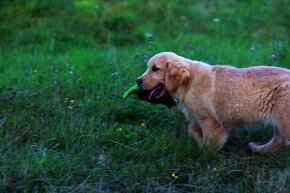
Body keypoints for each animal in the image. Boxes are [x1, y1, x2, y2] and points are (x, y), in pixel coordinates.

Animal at [136, 52, 290, 153]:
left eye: (155, 69)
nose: (137, 80)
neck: (188, 82)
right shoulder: (198, 116)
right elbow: (191, 129)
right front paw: (198, 141)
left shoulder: (211, 121)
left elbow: (209, 143)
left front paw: (205, 154)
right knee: (280, 140)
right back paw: (259, 149)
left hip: (285, 119)